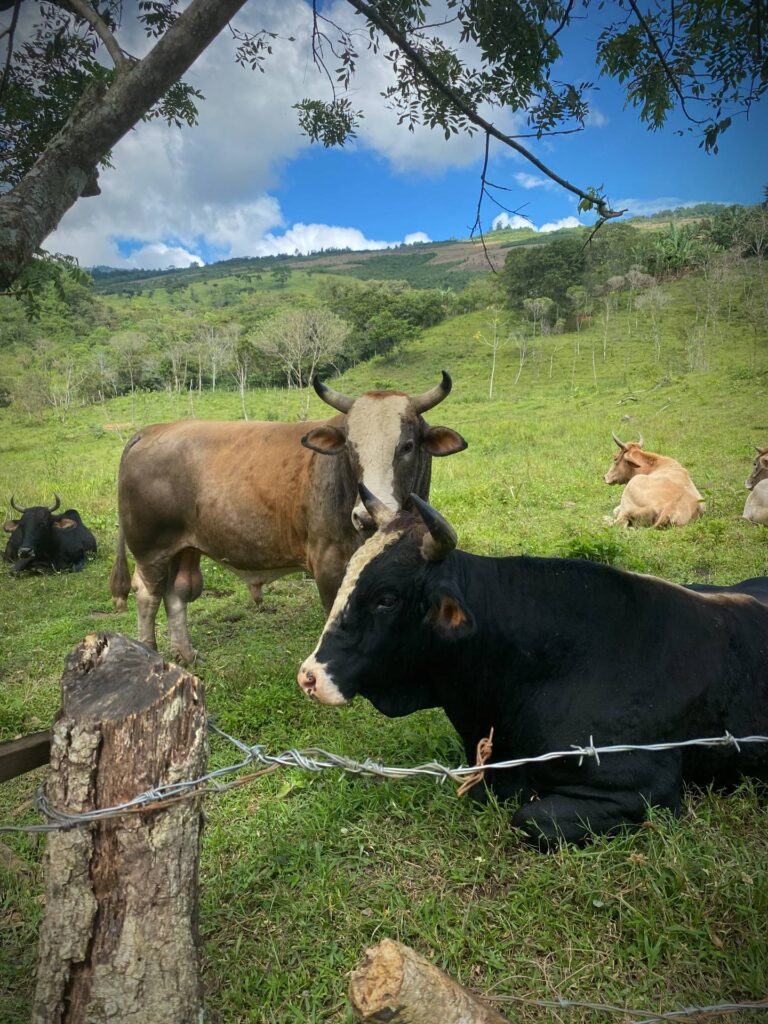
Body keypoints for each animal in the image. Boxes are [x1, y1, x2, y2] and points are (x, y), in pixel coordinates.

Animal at [110, 374, 466, 663]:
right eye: (351, 446)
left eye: (407, 445)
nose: (365, 517)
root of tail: (151, 431)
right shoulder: (328, 562)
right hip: (151, 549)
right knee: (148, 594)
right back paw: (151, 652)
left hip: (183, 549)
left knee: (176, 594)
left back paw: (185, 653)